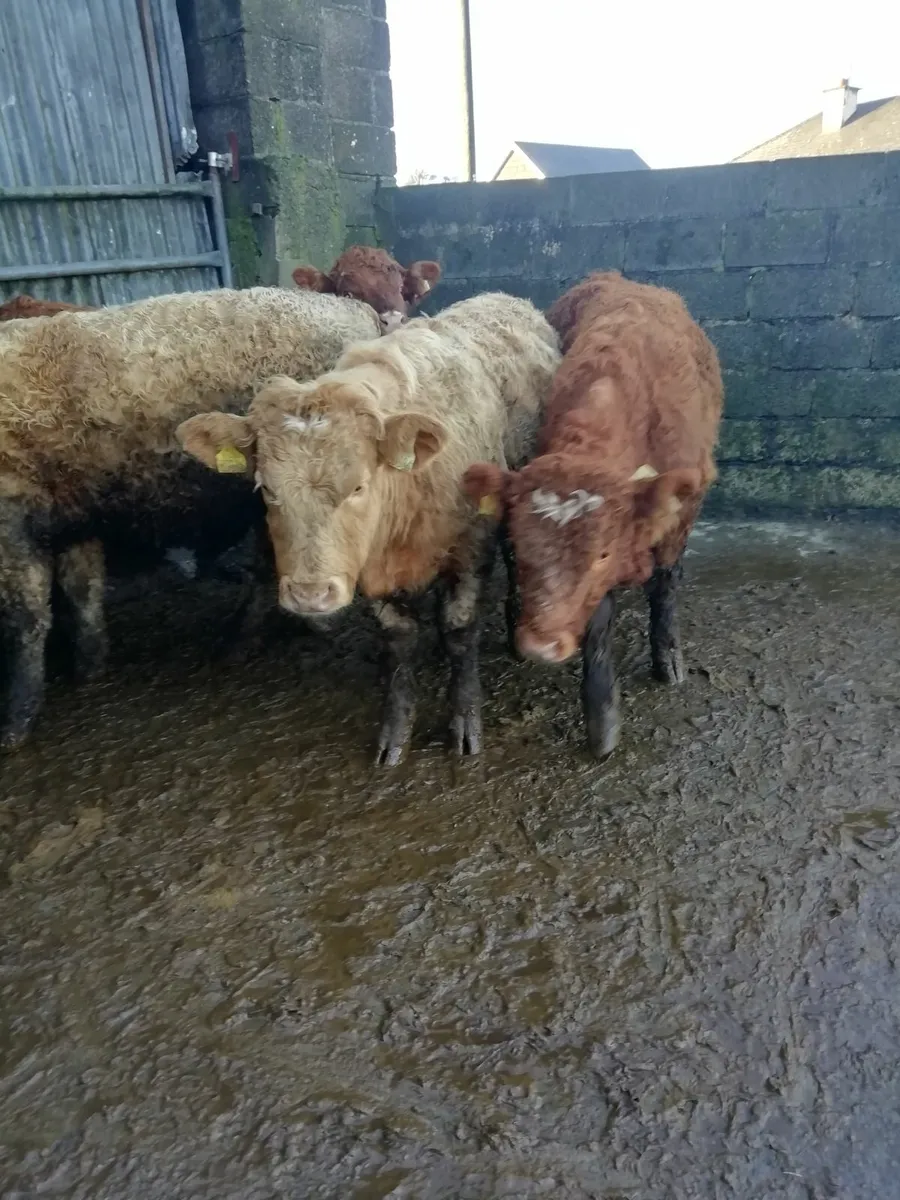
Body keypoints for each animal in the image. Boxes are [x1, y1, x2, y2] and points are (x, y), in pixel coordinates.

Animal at [0, 287, 381, 750]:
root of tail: (351, 305)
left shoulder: (13, 516)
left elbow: (26, 618)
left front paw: (15, 723)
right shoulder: (76, 512)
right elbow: (81, 589)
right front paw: (90, 667)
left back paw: (244, 640)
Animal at [177, 292, 561, 765]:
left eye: (359, 485)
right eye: (265, 487)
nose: (310, 594)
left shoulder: (472, 547)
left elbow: (459, 629)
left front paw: (465, 721)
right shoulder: (373, 574)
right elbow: (399, 641)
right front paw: (396, 731)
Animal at [462, 271, 723, 760]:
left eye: (601, 555)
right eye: (520, 548)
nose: (540, 645)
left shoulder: (683, 509)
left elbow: (665, 585)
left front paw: (668, 658)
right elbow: (598, 624)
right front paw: (603, 717)